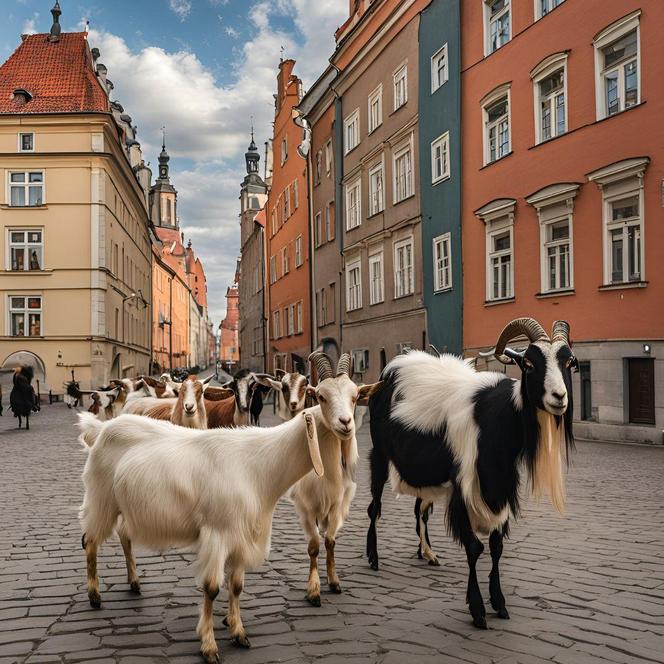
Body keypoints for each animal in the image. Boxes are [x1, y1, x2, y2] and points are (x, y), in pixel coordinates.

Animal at [76, 350, 376, 660]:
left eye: (355, 396)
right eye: (322, 397)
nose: (346, 423)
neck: (259, 463)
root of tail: (101, 429)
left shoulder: (241, 535)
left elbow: (237, 586)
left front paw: (238, 632)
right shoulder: (218, 532)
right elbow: (211, 588)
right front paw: (208, 645)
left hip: (123, 505)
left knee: (124, 536)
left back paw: (134, 583)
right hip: (100, 499)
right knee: (90, 541)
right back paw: (94, 595)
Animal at [366, 320, 580, 632]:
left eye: (569, 362)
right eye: (529, 363)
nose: (559, 398)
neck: (493, 417)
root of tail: (393, 367)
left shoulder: (502, 483)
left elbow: (496, 546)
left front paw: (499, 603)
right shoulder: (464, 487)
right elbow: (474, 547)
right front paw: (478, 609)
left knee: (420, 510)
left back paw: (427, 553)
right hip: (380, 454)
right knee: (374, 506)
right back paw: (373, 557)